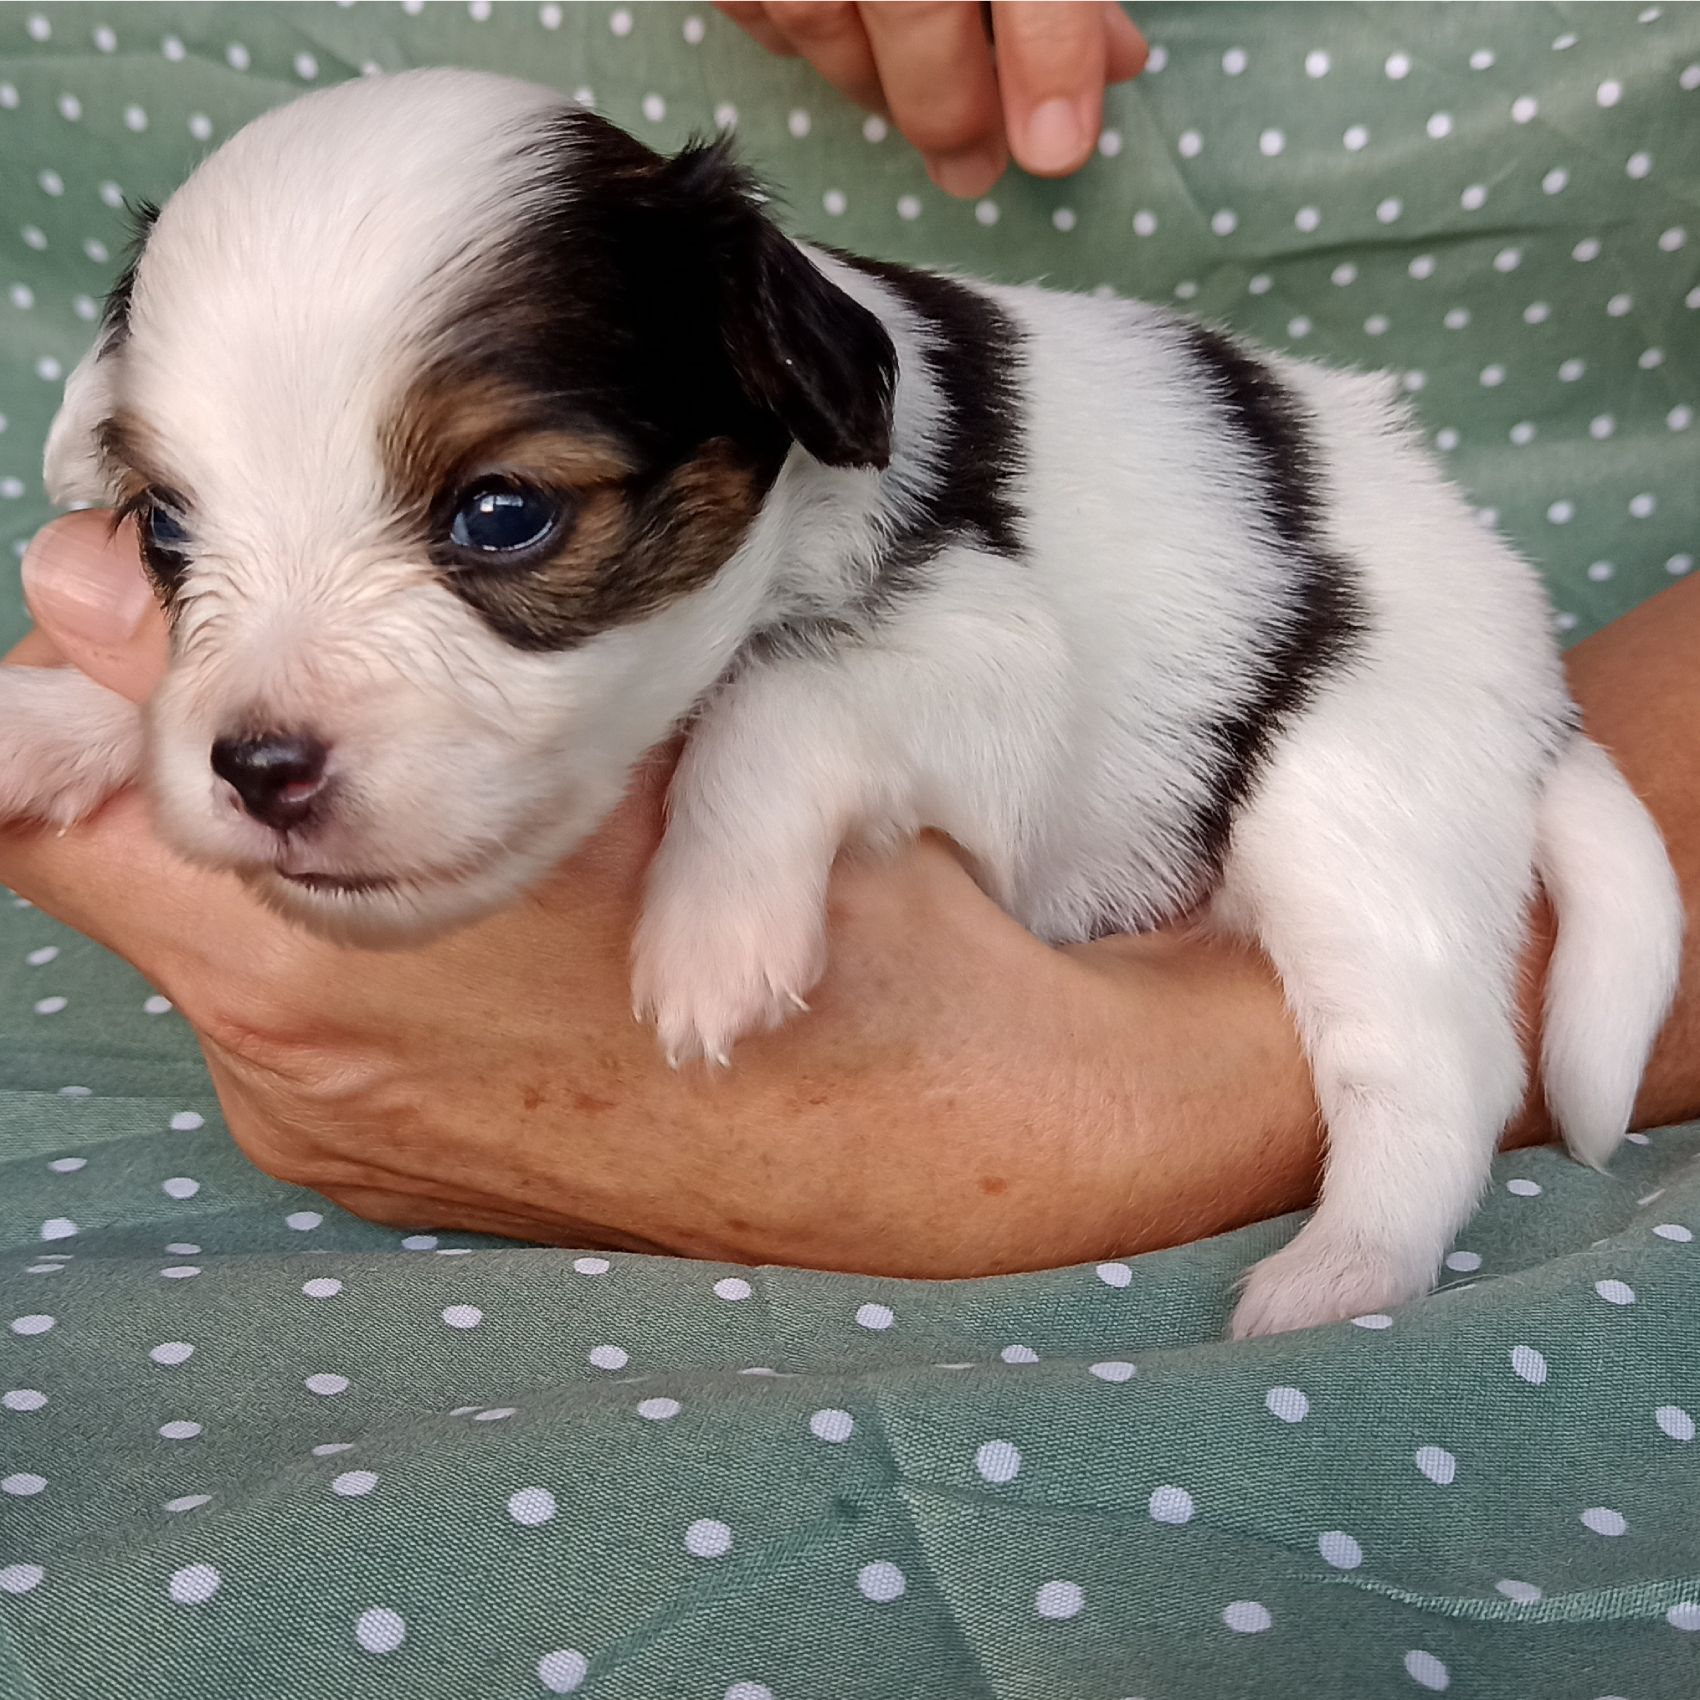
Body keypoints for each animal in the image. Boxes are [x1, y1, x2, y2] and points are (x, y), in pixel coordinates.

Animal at [3, 69, 1681, 1336]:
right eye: (164, 533)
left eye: (503, 516)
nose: (263, 767)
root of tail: (1533, 672)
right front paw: (62, 725)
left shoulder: (991, 664)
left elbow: (787, 697)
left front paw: (714, 922)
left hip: (1360, 792)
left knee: (1434, 1065)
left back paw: (1338, 1274)